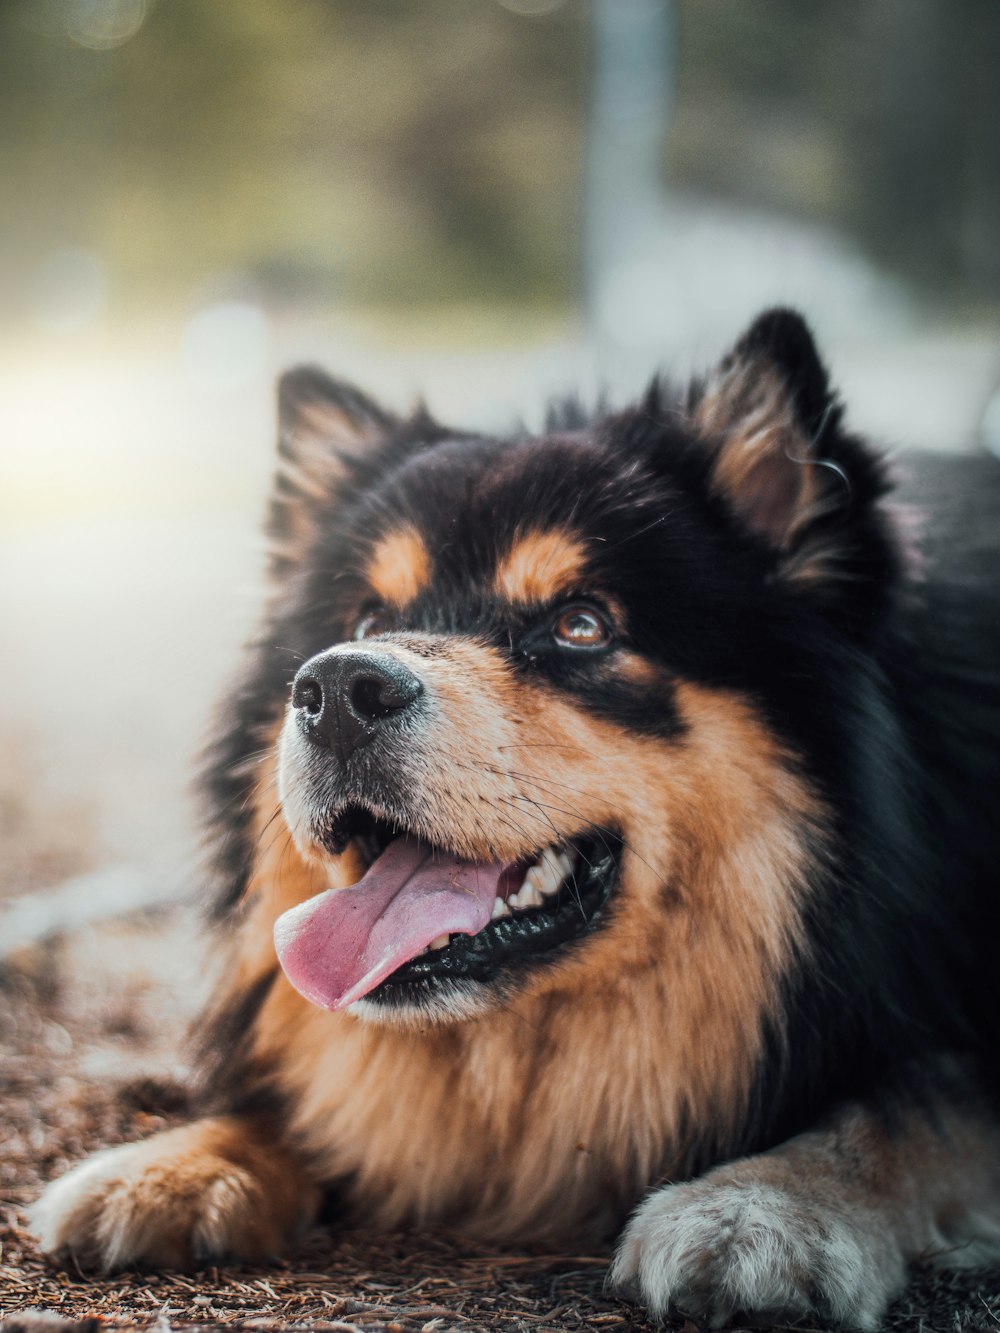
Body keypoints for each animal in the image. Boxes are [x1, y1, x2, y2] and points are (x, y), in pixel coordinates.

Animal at [29, 309, 1000, 1322]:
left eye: (581, 625)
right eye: (365, 621)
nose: (335, 690)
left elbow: (912, 1106)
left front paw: (768, 1202)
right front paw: (178, 1162)